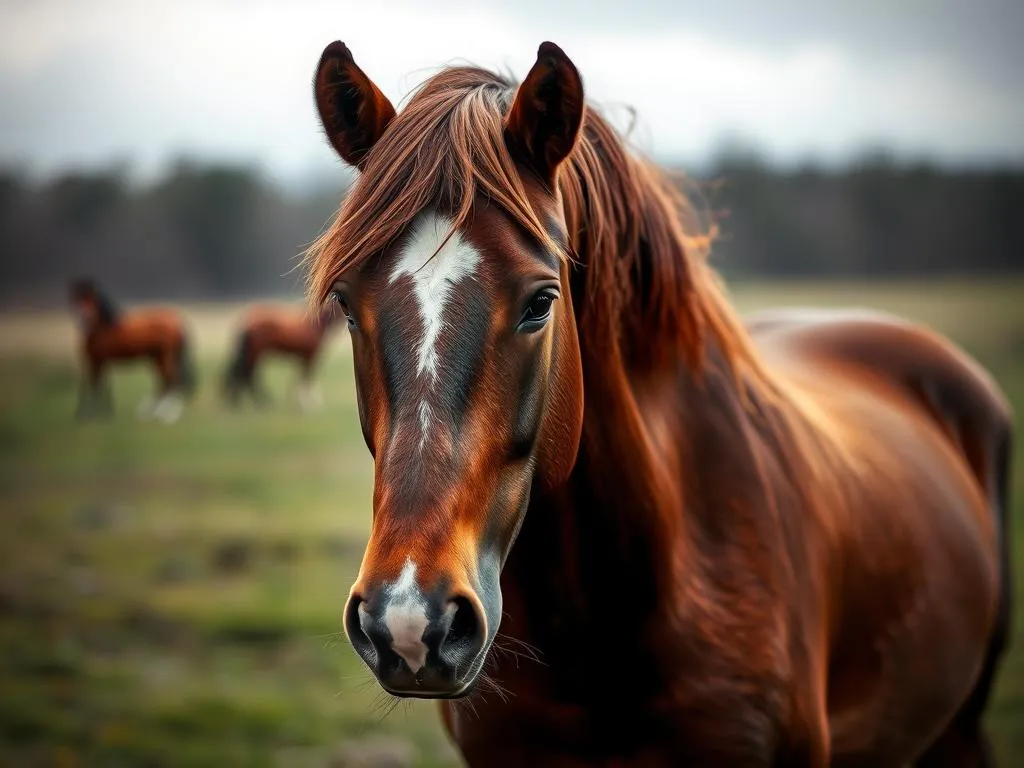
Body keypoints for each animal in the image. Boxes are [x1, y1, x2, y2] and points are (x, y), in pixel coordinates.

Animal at [69, 278, 195, 423]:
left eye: (92, 298)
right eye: (78, 299)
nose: (84, 317)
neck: (103, 328)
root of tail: (177, 320)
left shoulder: (98, 360)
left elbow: (94, 386)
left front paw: (92, 414)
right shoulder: (95, 361)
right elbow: (94, 385)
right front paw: (99, 413)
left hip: (166, 356)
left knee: (172, 379)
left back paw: (168, 414)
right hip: (157, 357)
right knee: (163, 380)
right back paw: (151, 412)